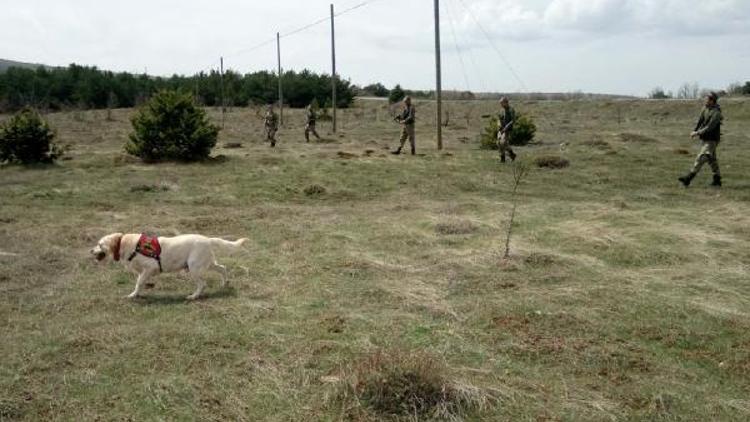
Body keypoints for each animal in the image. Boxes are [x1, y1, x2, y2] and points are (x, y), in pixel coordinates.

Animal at [92, 234, 247, 300]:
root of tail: (208, 239)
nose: (91, 251)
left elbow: (139, 282)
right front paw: (139, 292)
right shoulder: (143, 271)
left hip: (194, 268)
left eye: (99, 244)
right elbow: (140, 282)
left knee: (203, 284)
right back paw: (225, 283)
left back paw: (193, 296)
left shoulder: (150, 267)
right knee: (223, 268)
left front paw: (133, 295)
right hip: (207, 264)